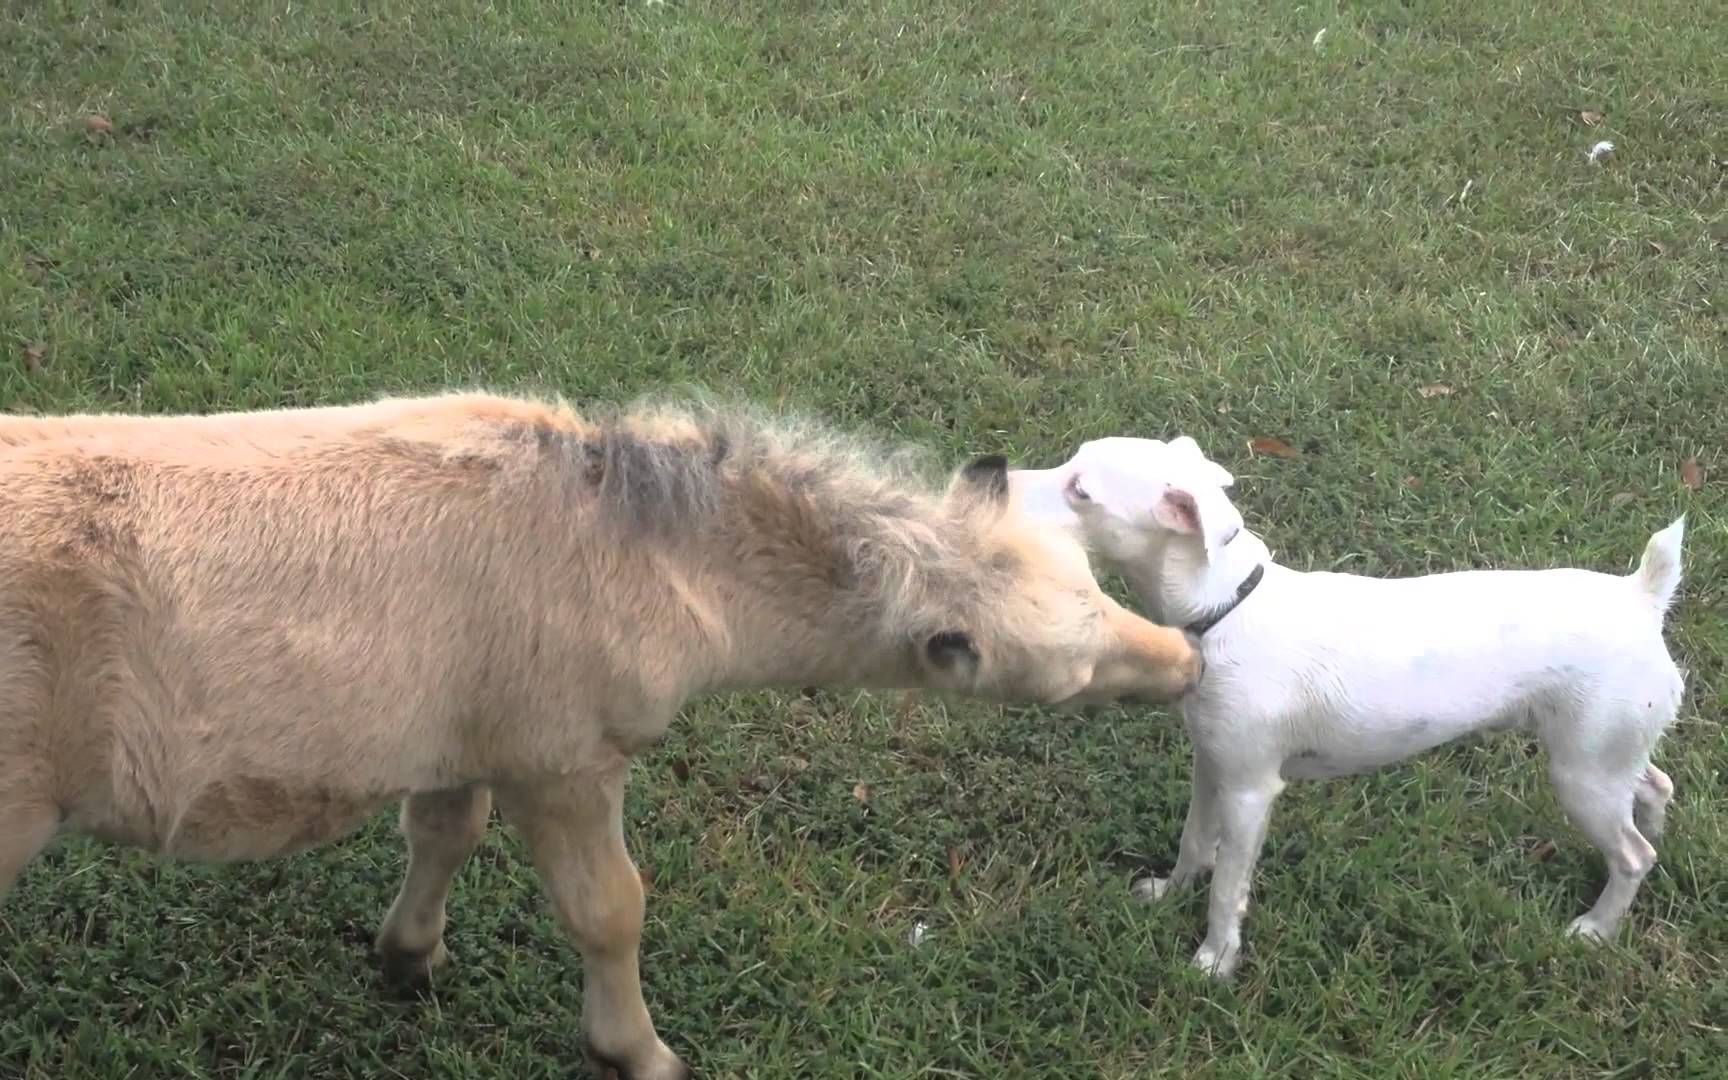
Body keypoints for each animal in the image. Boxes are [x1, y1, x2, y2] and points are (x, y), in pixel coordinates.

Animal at [0, 392, 1195, 1071]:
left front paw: (407, 958)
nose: (1183, 664)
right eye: (1067, 673)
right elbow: (610, 912)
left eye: (1095, 583)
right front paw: (640, 1053)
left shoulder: (467, 736)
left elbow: (442, 833)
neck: (638, 546)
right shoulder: (567, 760)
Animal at [1009, 435, 1686, 974]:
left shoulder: (1250, 791)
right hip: (1602, 756)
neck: (1227, 607)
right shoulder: (1212, 764)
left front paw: (1214, 961)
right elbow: (1195, 843)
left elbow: (1227, 885)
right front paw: (1169, 894)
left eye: (1080, 490)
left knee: (1633, 855)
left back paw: (1598, 927)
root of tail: (1641, 598)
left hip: (1581, 774)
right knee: (1655, 788)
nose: (1000, 482)